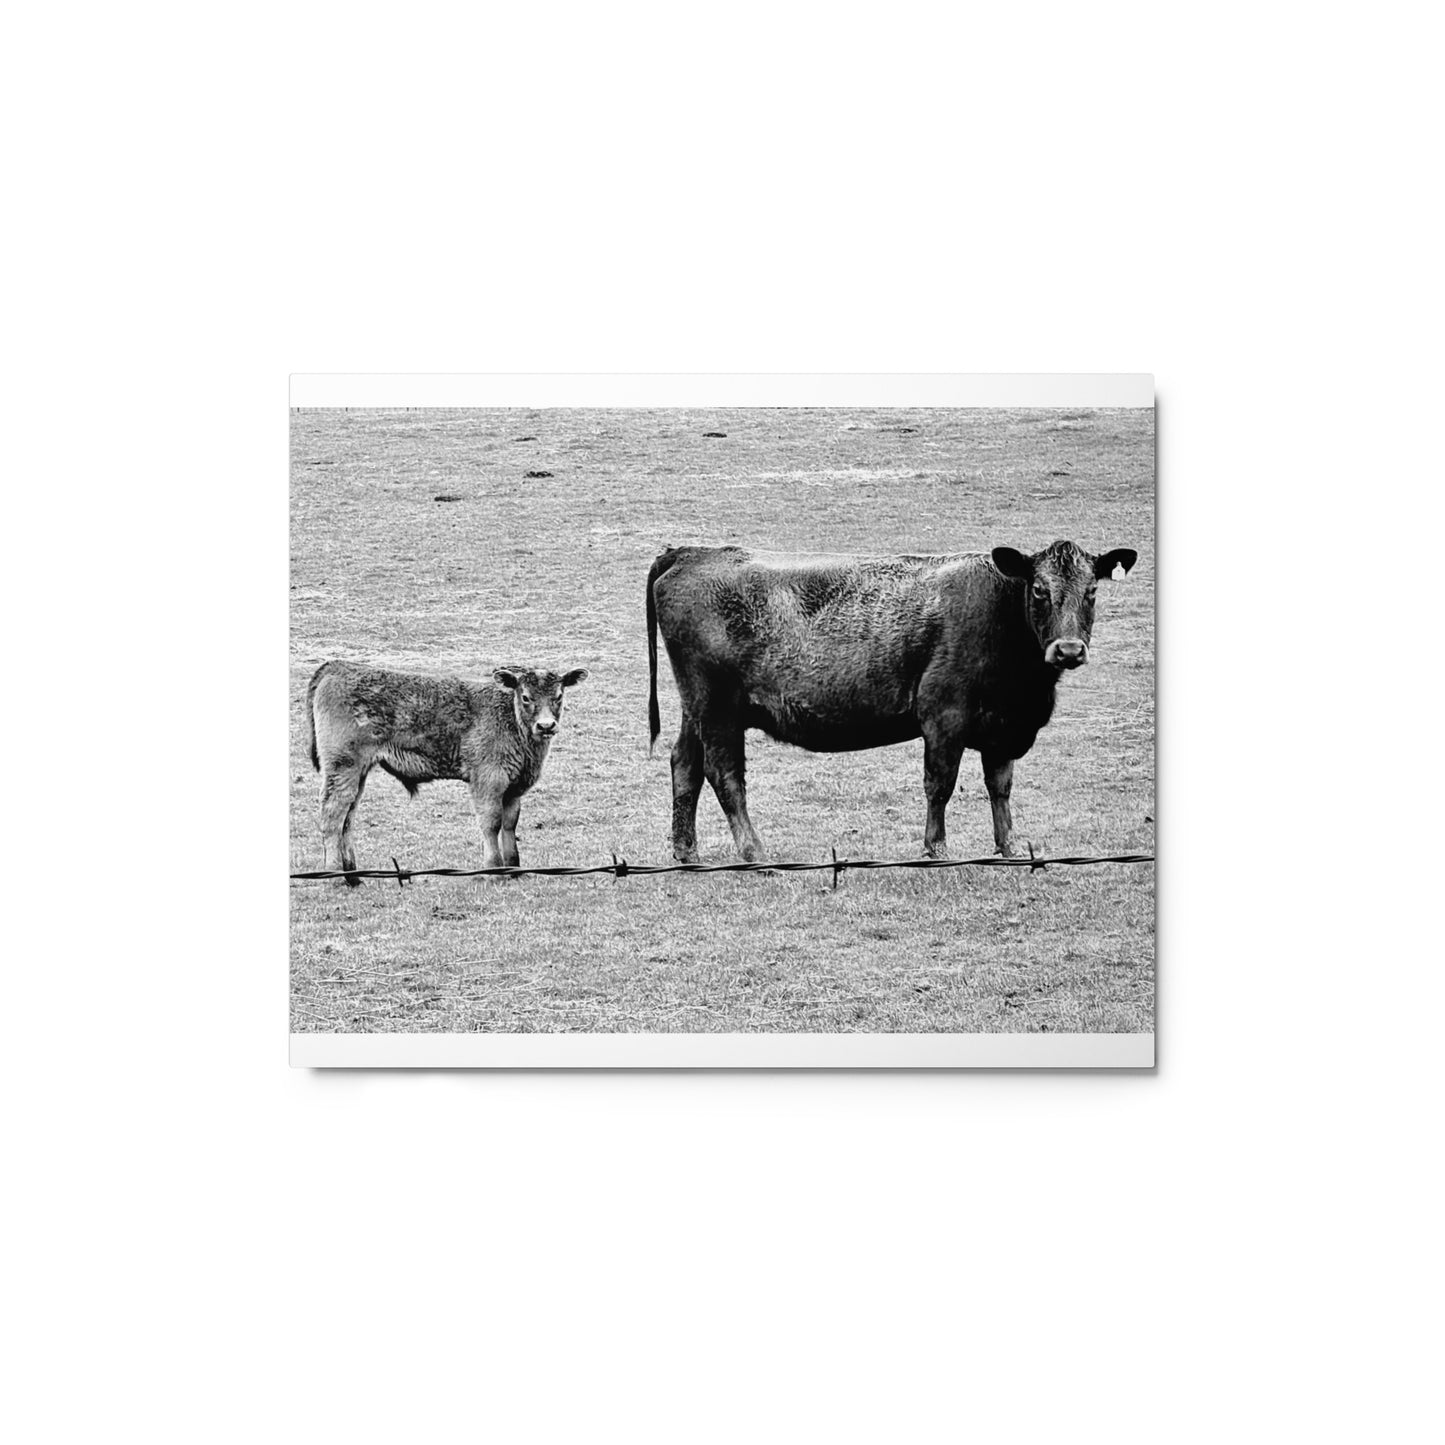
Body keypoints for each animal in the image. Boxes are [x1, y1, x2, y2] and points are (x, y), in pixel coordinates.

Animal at [306, 661, 588, 882]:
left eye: (558, 696)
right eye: (526, 697)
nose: (546, 725)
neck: (511, 719)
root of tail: (338, 666)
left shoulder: (513, 787)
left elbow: (509, 824)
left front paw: (514, 869)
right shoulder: (488, 780)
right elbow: (491, 823)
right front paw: (494, 870)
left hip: (357, 772)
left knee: (347, 817)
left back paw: (353, 875)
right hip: (343, 766)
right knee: (333, 814)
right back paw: (335, 876)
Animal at [645, 540, 1137, 863]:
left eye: (1092, 590)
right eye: (1038, 589)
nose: (1068, 650)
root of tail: (691, 552)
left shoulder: (1002, 729)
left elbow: (1000, 787)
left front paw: (1009, 847)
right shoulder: (944, 716)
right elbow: (939, 784)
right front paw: (937, 848)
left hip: (697, 709)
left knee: (685, 764)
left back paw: (686, 851)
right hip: (718, 709)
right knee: (724, 775)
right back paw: (754, 852)